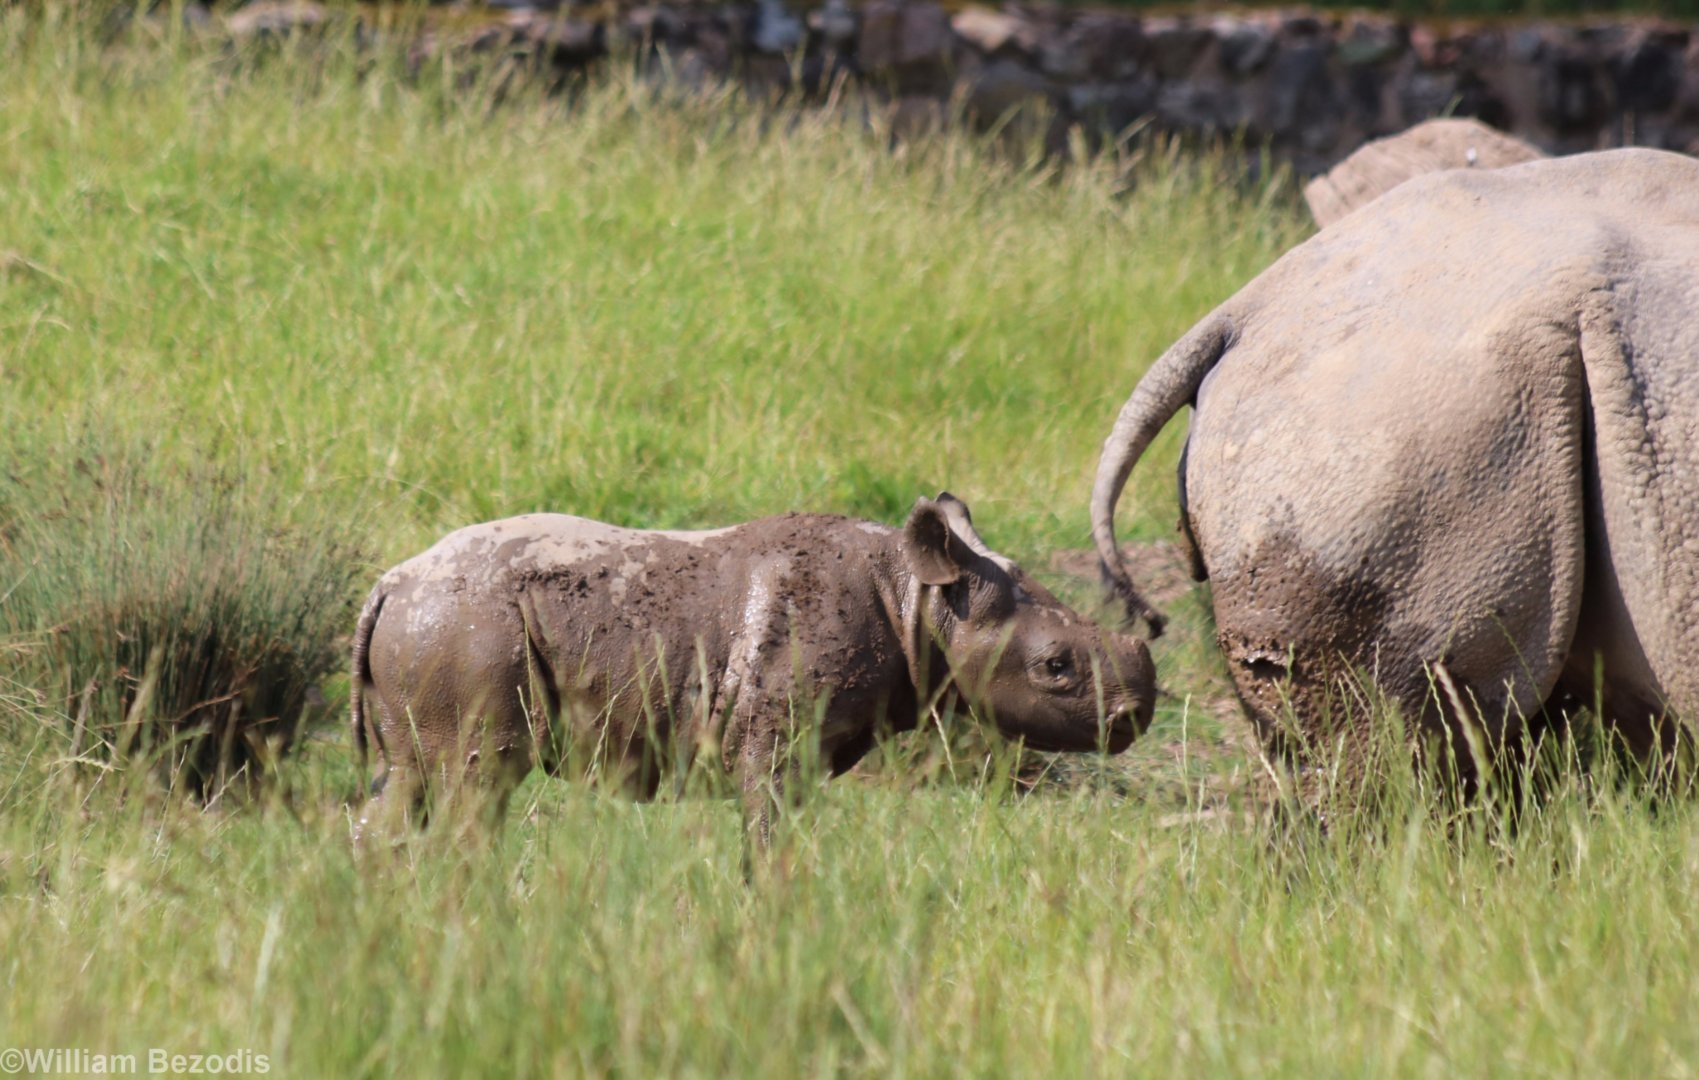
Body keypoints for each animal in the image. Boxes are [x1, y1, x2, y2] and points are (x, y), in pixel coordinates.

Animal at [352, 494, 1154, 844]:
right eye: (1056, 667)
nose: (1135, 718)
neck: (920, 598)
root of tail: (386, 585)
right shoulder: (777, 742)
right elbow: (769, 840)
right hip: (467, 624)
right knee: (477, 783)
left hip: (437, 624)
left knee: (410, 783)